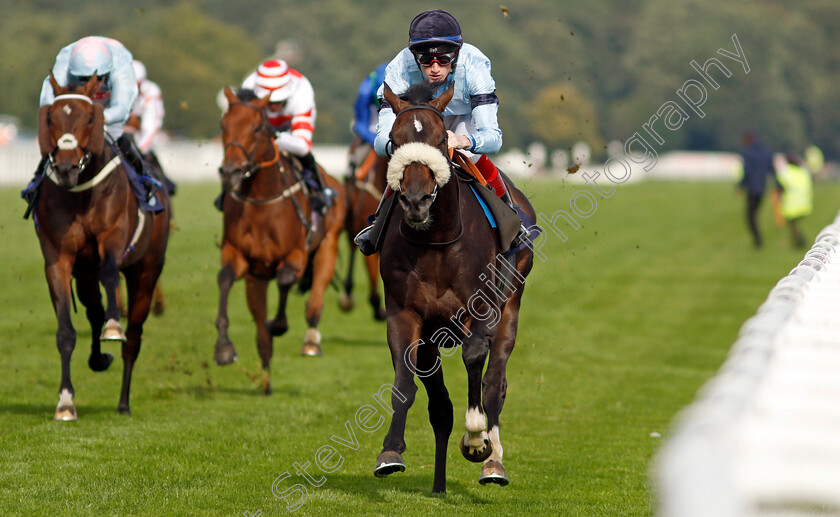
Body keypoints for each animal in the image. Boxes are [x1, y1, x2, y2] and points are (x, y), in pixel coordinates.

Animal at [35, 73, 171, 420]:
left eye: (89, 117)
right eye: (51, 118)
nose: (66, 168)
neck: (81, 192)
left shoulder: (113, 237)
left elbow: (111, 274)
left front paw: (113, 326)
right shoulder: (59, 259)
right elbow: (66, 331)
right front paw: (65, 402)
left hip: (147, 269)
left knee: (133, 335)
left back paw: (123, 401)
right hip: (84, 275)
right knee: (93, 310)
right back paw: (99, 359)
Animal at [217, 86, 348, 394]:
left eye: (257, 128)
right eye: (223, 125)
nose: (230, 172)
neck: (261, 201)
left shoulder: (296, 254)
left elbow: (287, 280)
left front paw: (278, 324)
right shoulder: (239, 257)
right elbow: (225, 278)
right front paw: (224, 348)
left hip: (327, 247)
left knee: (314, 302)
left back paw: (310, 341)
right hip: (256, 279)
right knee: (260, 332)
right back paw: (265, 379)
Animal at [376, 82, 536, 490]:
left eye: (440, 139)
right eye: (394, 139)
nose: (416, 201)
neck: (437, 241)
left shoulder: (483, 309)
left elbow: (475, 358)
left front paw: (477, 439)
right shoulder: (407, 313)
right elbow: (406, 381)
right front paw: (390, 451)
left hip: (512, 304)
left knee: (495, 382)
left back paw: (492, 462)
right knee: (441, 408)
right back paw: (439, 484)